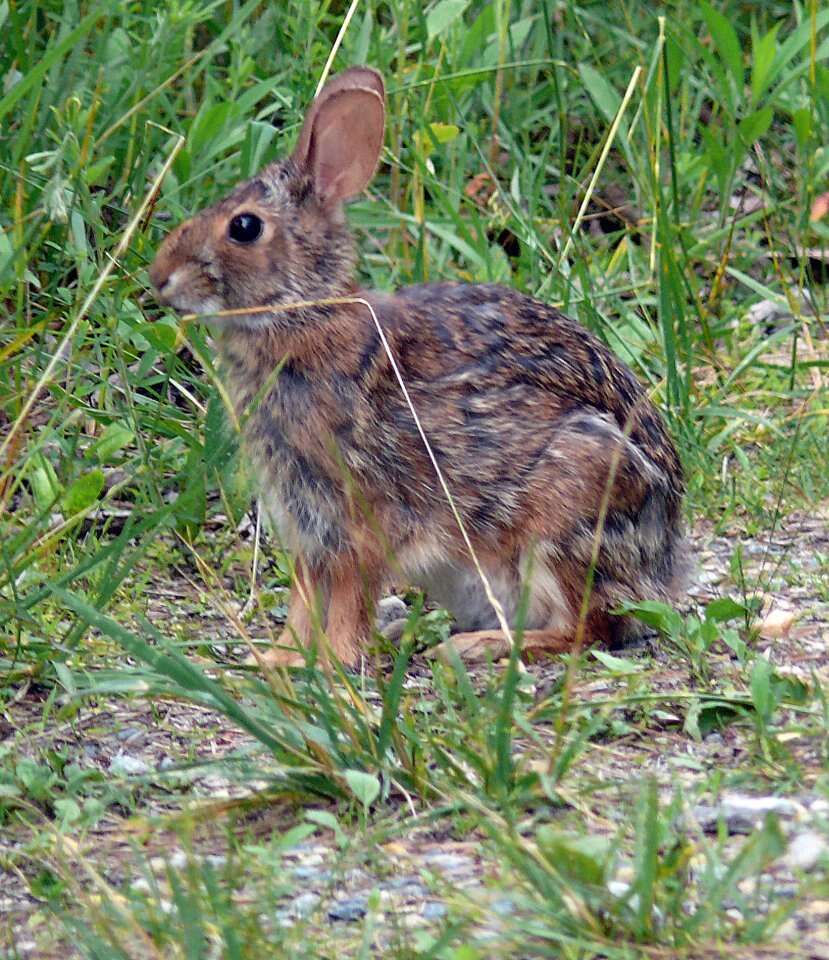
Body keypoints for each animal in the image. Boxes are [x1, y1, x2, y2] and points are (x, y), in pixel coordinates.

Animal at [147, 65, 684, 668]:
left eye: (243, 227)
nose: (158, 276)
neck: (302, 313)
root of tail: (665, 563)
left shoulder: (356, 516)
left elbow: (347, 598)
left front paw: (331, 662)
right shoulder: (307, 522)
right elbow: (305, 601)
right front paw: (280, 659)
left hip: (563, 516)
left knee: (586, 627)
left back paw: (475, 646)